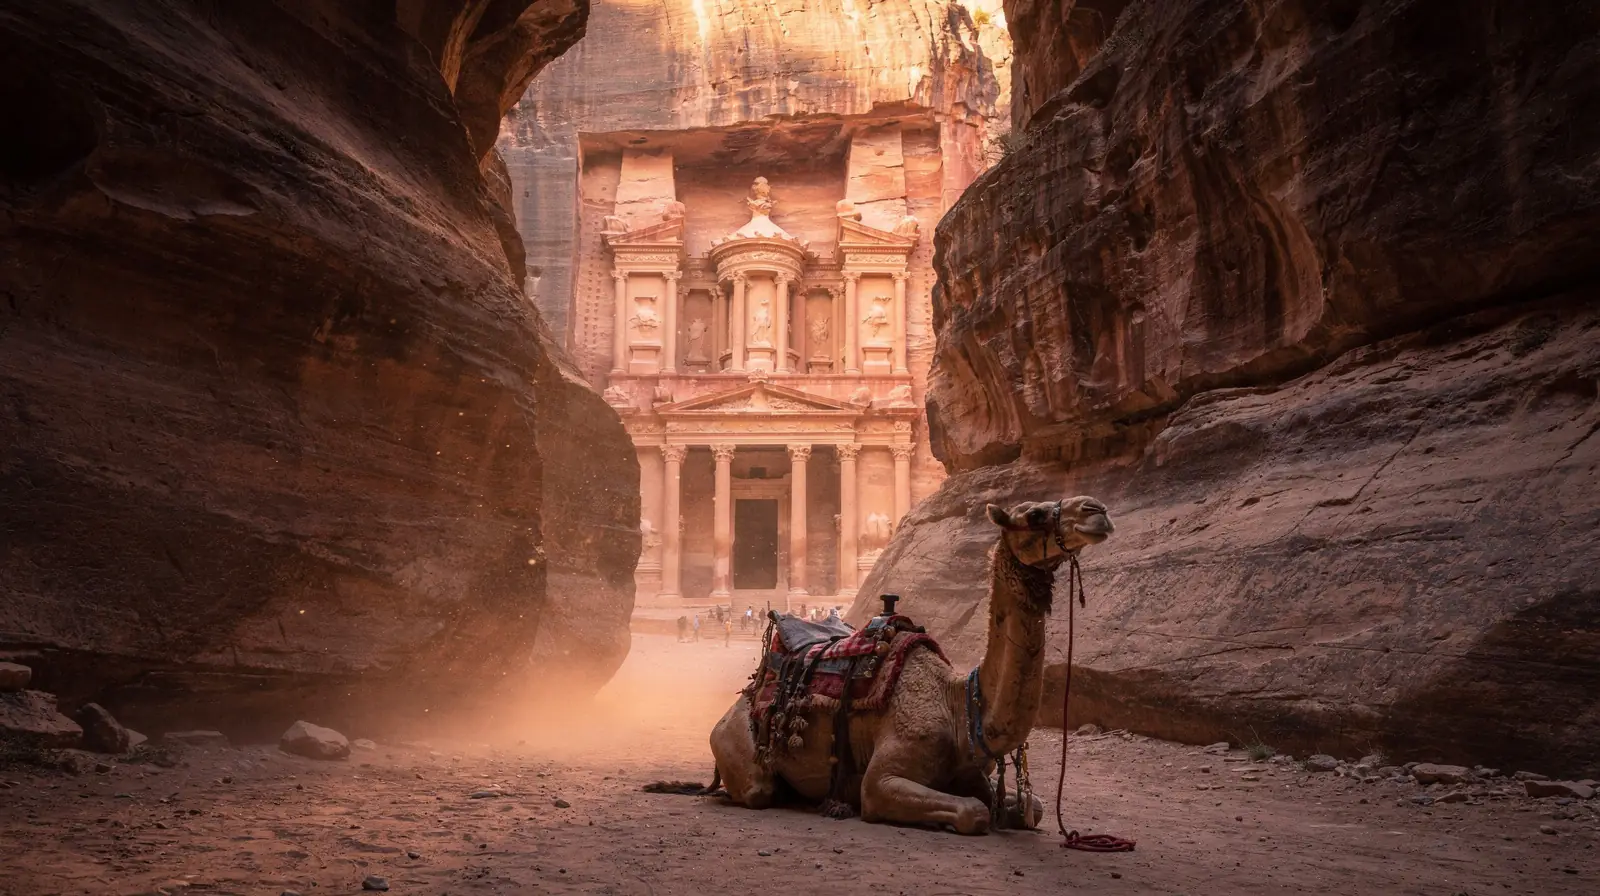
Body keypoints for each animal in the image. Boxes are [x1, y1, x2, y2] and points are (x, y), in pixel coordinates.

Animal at [708, 496, 1114, 835]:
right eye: (1035, 515)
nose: (1097, 510)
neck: (959, 707)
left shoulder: (973, 775)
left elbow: (1035, 806)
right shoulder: (881, 782)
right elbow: (973, 811)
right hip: (737, 745)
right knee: (759, 788)